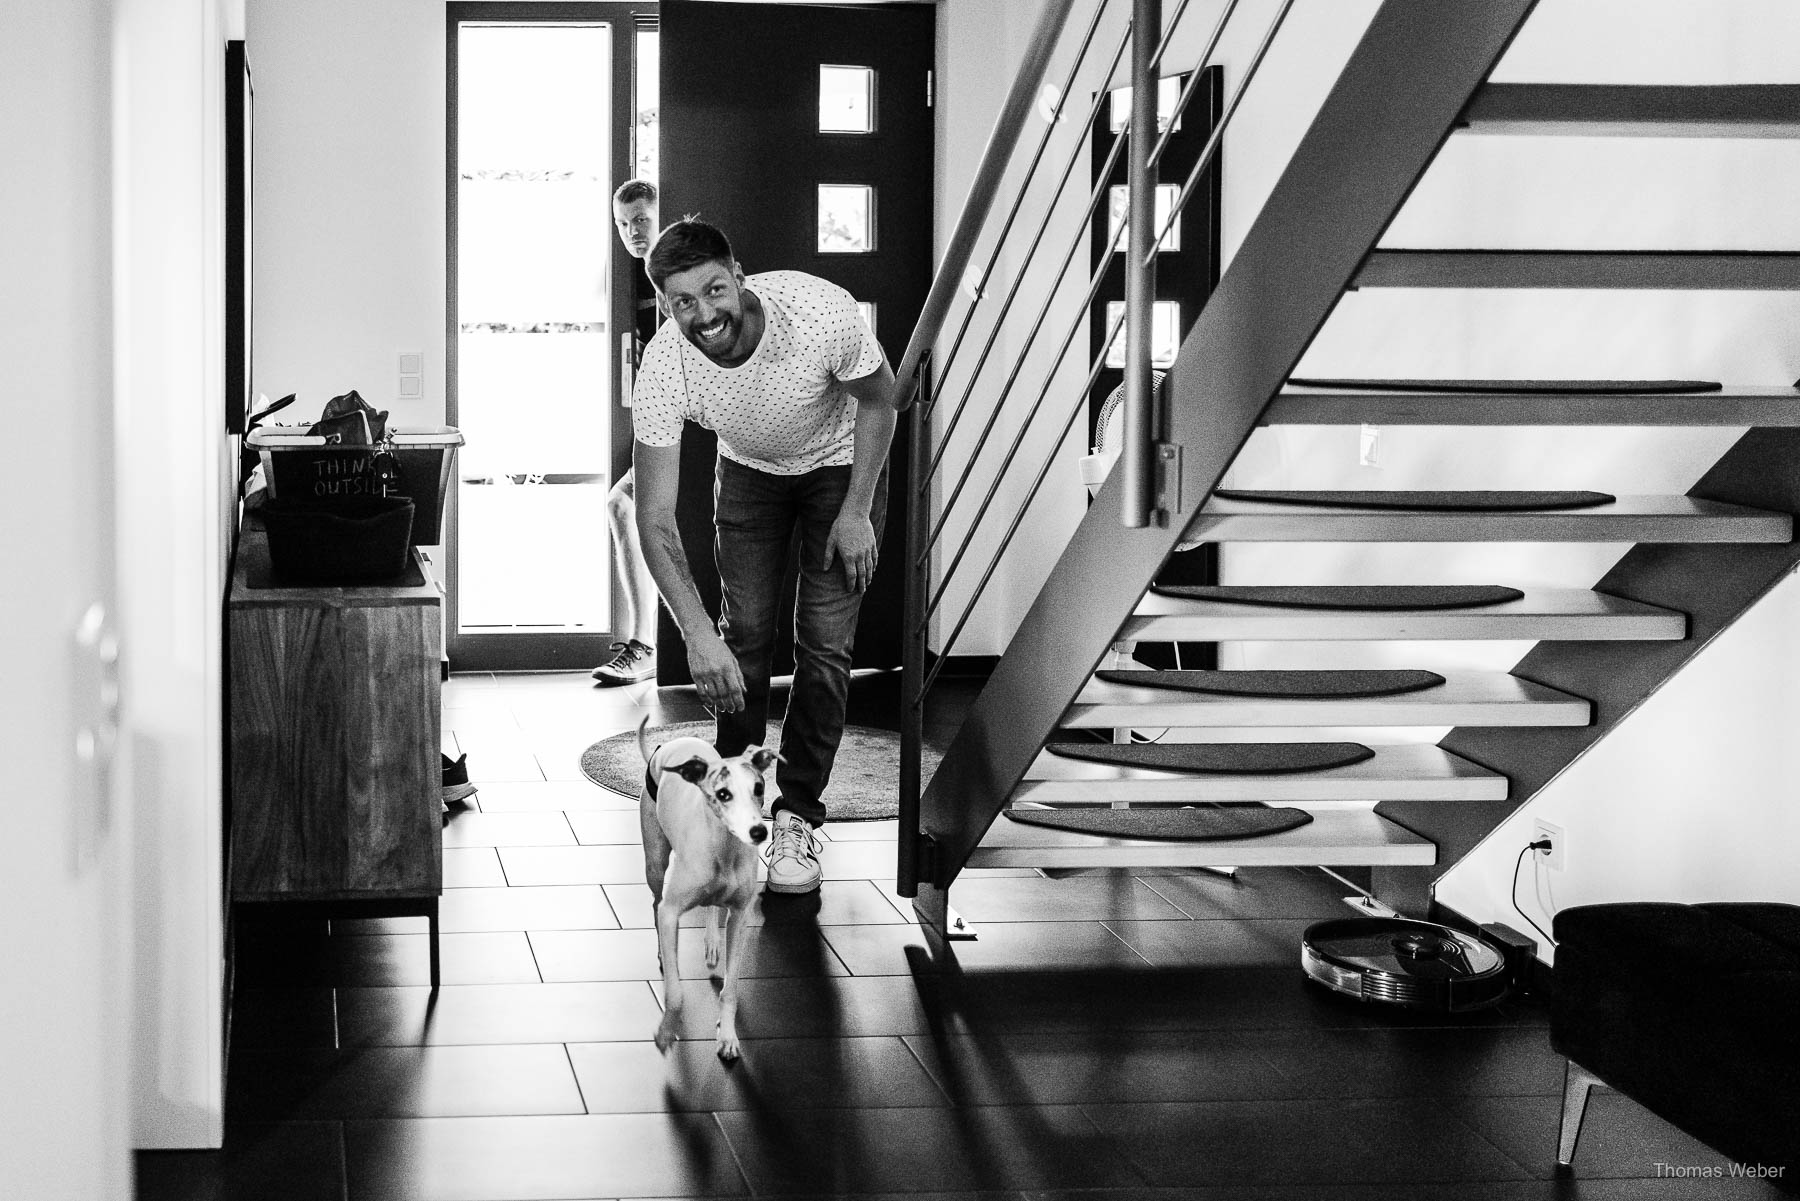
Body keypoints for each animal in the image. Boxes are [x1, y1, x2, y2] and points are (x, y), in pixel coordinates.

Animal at [637, 720, 777, 1058]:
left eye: (759, 788)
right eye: (723, 794)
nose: (759, 831)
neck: (723, 850)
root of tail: (668, 745)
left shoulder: (740, 917)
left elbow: (731, 988)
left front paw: (727, 1036)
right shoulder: (671, 912)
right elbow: (675, 992)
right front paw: (666, 1032)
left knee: (713, 905)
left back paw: (713, 942)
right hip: (655, 861)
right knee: (655, 902)